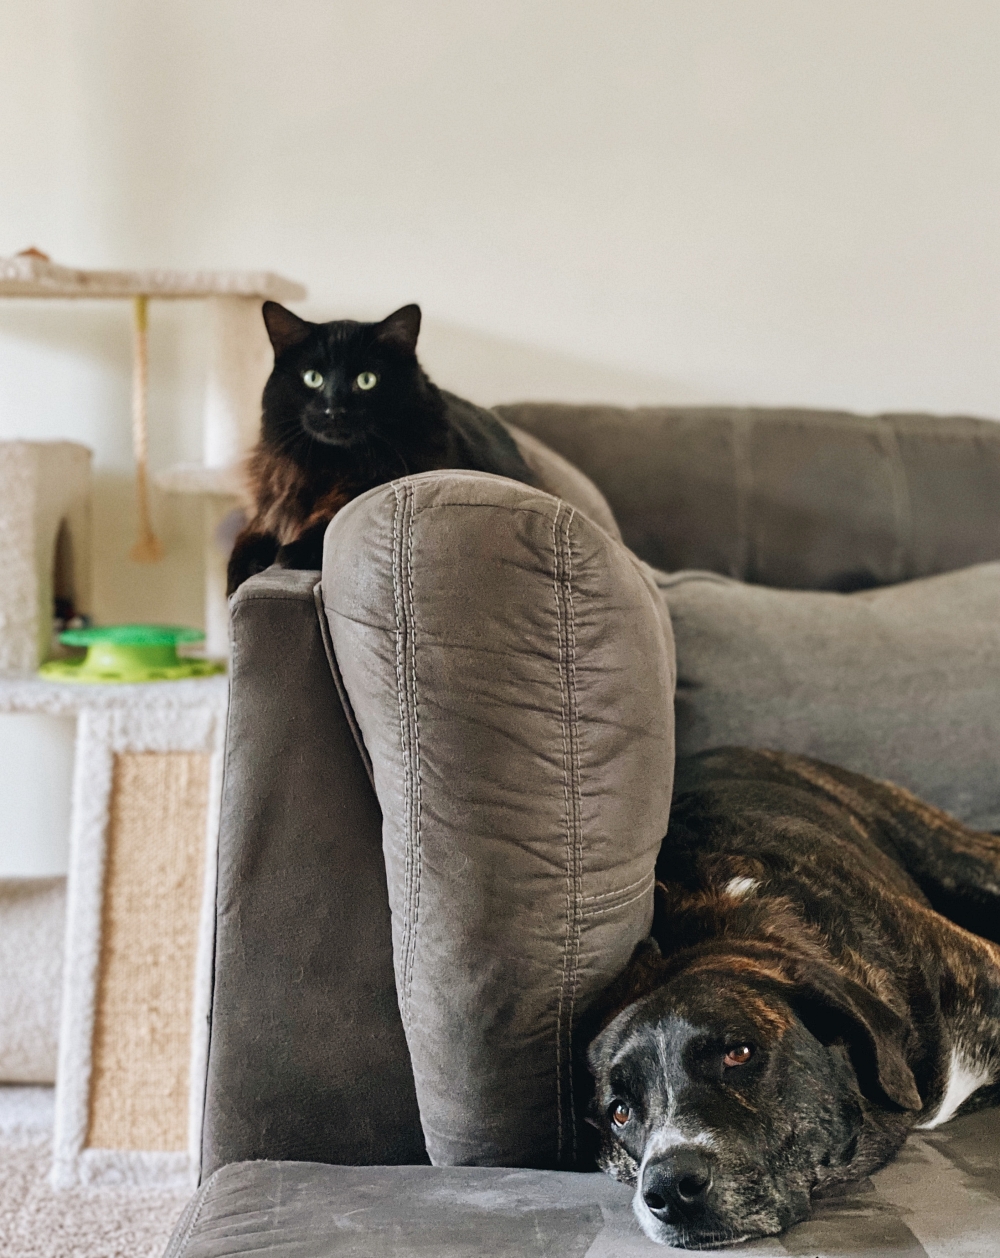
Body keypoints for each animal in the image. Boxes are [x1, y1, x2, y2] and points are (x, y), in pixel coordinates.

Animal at [227, 301, 540, 591]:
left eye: (367, 380)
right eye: (312, 378)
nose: (334, 410)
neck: (331, 465)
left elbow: (332, 518)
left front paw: (293, 552)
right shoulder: (271, 505)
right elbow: (244, 542)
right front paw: (239, 579)